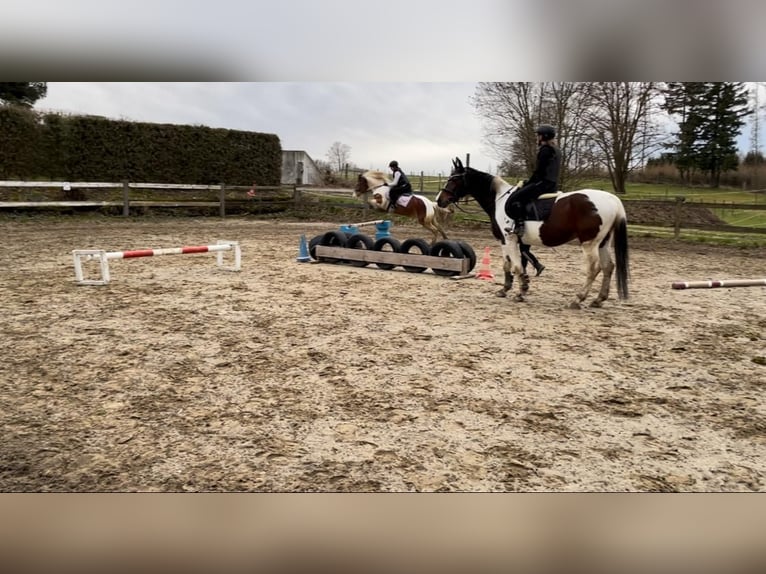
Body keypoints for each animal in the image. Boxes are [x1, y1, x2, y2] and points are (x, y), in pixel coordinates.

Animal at [438, 156, 632, 310]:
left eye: (454, 179)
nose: (440, 200)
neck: (499, 200)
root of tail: (612, 199)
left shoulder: (507, 239)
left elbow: (515, 266)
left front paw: (520, 291)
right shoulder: (513, 241)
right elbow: (510, 265)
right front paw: (507, 289)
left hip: (589, 243)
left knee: (594, 268)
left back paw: (578, 299)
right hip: (603, 242)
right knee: (608, 267)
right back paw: (599, 299)